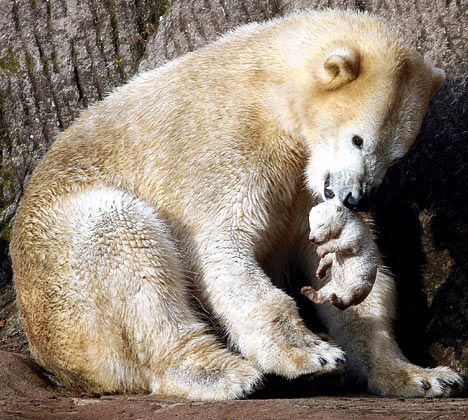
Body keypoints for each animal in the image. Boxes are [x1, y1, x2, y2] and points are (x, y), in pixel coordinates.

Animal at [9, 8, 462, 398]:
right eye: (358, 139)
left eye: (396, 155)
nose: (356, 197)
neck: (271, 87)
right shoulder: (228, 142)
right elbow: (222, 244)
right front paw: (312, 354)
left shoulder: (301, 185)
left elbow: (348, 273)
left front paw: (423, 375)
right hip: (62, 282)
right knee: (123, 243)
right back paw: (223, 372)